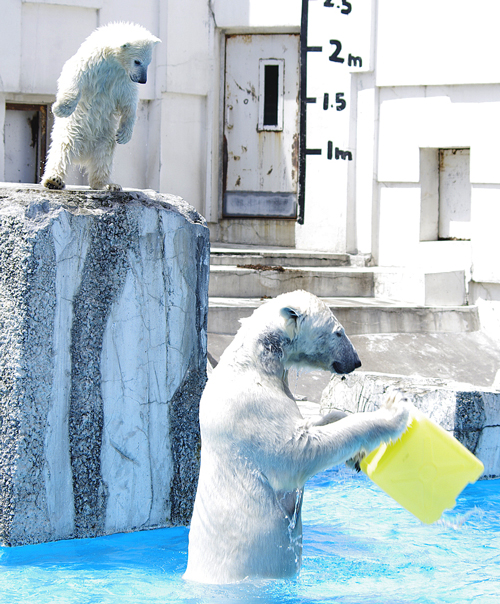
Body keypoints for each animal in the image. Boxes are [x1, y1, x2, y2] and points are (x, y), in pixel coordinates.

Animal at [43, 23, 161, 191]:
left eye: (148, 62)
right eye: (137, 61)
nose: (143, 80)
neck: (112, 62)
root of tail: (83, 155)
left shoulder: (123, 79)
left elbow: (129, 102)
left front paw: (124, 135)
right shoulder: (91, 64)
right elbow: (73, 76)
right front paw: (61, 108)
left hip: (104, 134)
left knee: (104, 154)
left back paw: (107, 184)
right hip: (72, 129)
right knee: (63, 149)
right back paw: (54, 180)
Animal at [186, 290, 408, 584]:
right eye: (339, 332)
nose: (357, 361)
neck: (254, 362)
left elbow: (310, 423)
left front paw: (357, 457)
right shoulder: (252, 408)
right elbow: (297, 453)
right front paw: (394, 410)